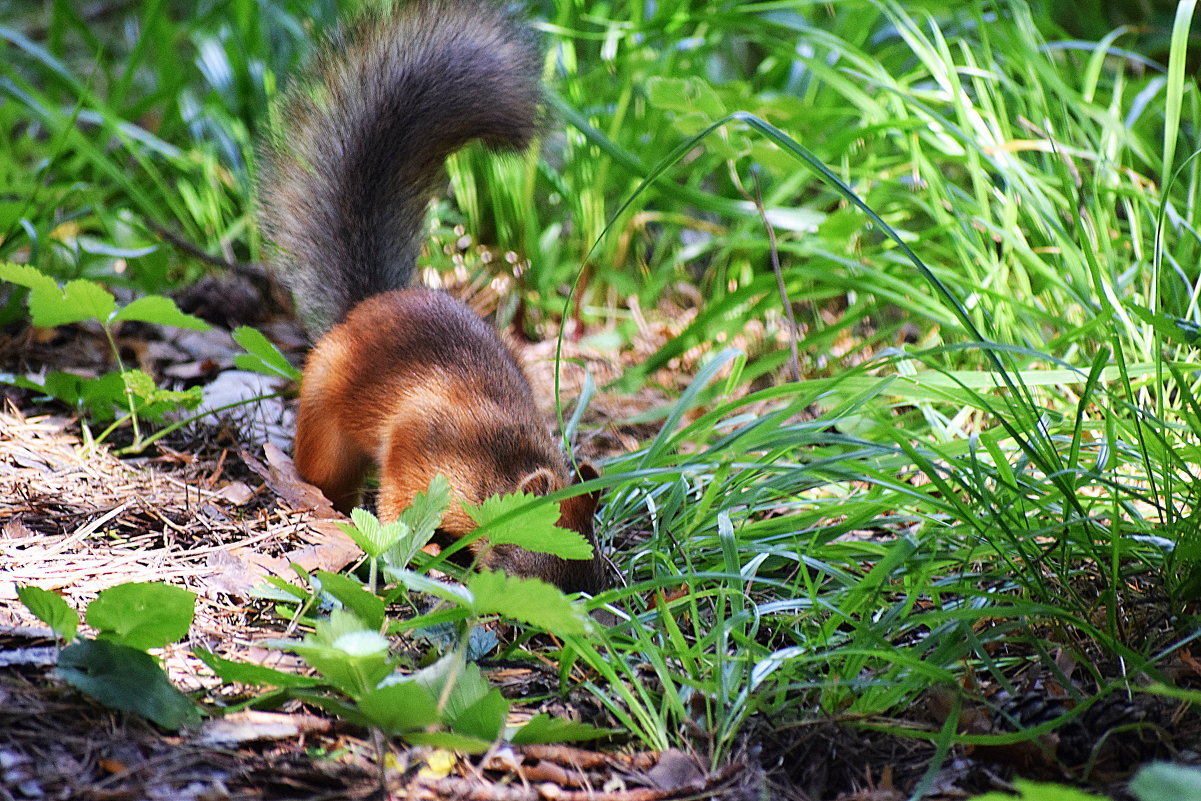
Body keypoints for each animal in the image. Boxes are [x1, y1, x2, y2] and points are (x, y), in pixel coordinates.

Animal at [255, 0, 610, 595]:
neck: (496, 466)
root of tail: (370, 304)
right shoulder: (418, 450)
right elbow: (399, 508)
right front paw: (417, 552)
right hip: (325, 417)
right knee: (325, 471)